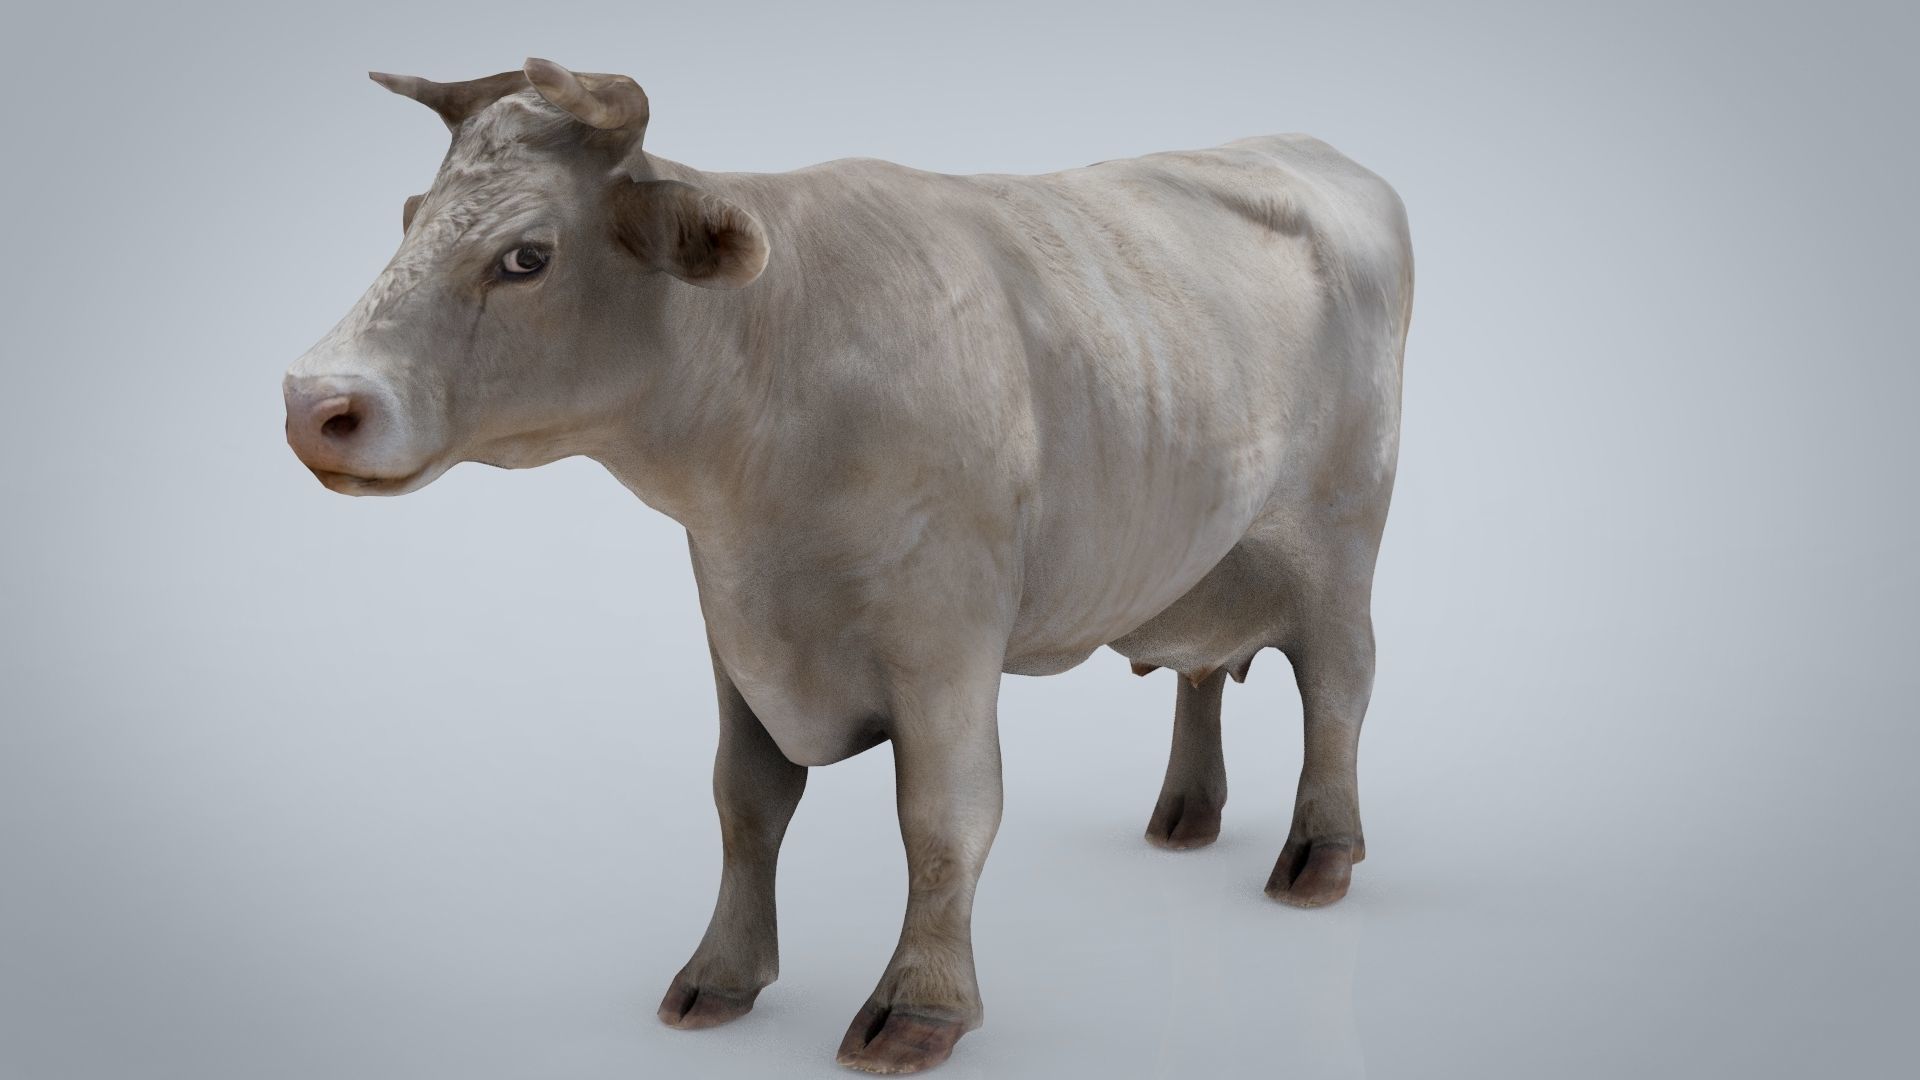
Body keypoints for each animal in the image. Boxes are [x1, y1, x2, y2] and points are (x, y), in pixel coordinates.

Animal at [283, 58, 1413, 1074]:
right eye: (410, 219)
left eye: (526, 256)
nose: (313, 402)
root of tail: (1316, 151)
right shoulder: (733, 622)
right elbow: (745, 800)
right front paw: (719, 976)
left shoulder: (946, 636)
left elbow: (946, 816)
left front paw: (921, 1006)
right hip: (1198, 549)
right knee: (1201, 668)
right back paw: (1185, 813)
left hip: (1344, 530)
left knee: (1341, 685)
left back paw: (1319, 856)